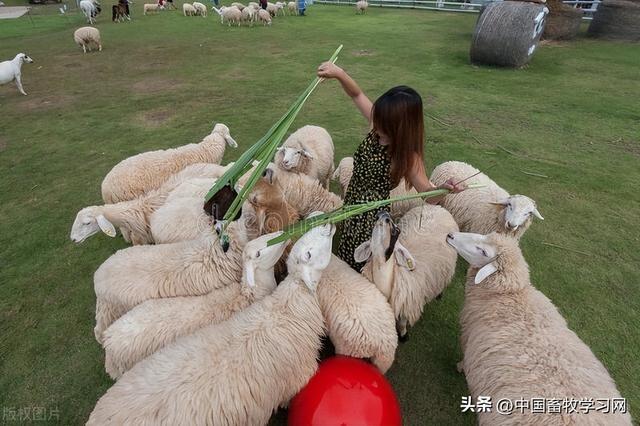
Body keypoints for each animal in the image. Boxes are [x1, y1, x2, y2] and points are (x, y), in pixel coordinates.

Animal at [356, 206, 460, 340]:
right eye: (376, 218)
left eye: (397, 230)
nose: (383, 214)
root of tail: (438, 208)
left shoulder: (407, 307)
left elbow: (402, 323)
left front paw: (404, 335)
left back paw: (439, 294)